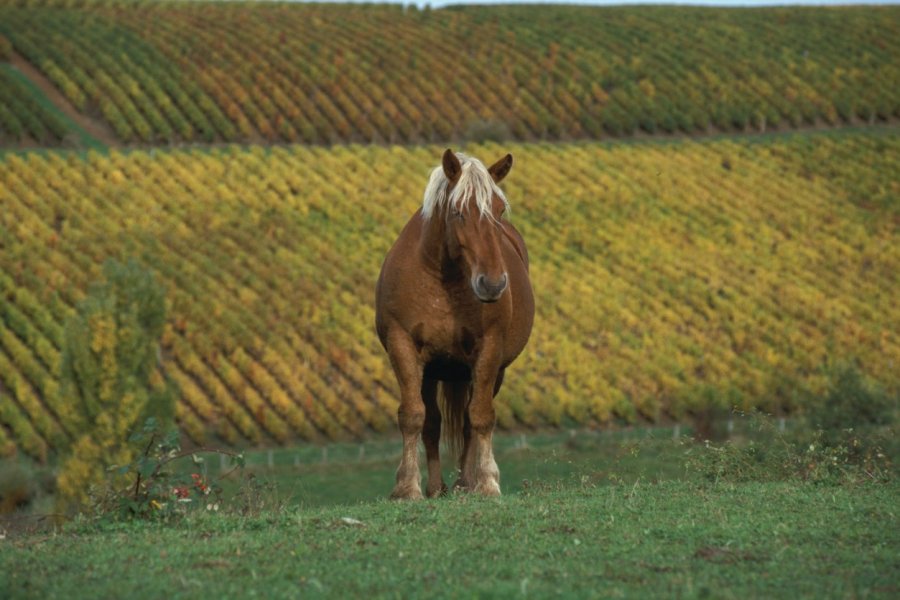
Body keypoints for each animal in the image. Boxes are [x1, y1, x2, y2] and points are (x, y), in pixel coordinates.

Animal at [374, 151, 536, 502]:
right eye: (457, 212)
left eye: (499, 211)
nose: (492, 284)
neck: (442, 281)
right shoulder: (403, 346)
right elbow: (413, 416)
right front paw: (407, 487)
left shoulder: (489, 351)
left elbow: (480, 417)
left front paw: (487, 482)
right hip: (432, 371)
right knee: (432, 423)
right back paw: (437, 487)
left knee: (466, 422)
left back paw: (465, 483)